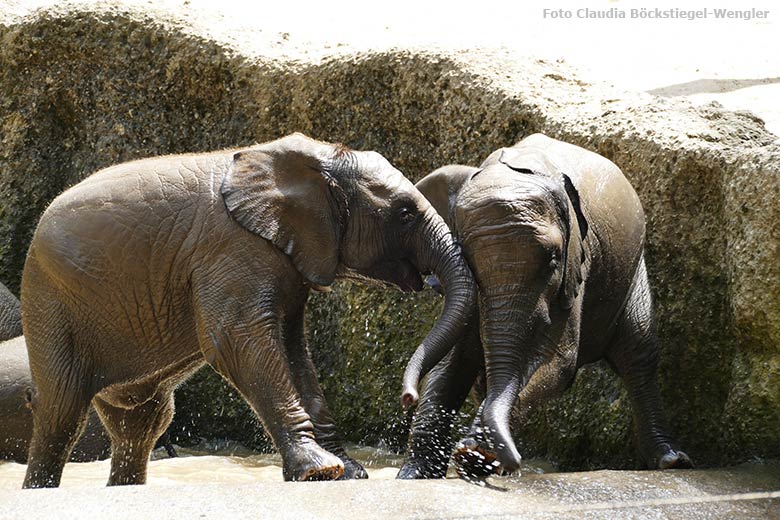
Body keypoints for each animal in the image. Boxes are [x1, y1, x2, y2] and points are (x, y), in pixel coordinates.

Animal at [21, 131, 476, 488]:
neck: (313, 161)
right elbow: (238, 342)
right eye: (405, 213)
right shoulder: (232, 249)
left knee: (141, 423)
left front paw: (346, 472)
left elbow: (294, 351)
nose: (407, 400)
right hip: (50, 299)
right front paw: (319, 471)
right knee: (62, 412)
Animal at [400, 133, 692, 480]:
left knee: (638, 352)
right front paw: (413, 476)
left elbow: (558, 362)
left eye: (553, 260)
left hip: (632, 271)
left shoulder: (577, 263)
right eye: (465, 258)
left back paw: (671, 461)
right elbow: (452, 364)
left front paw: (475, 453)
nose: (407, 398)